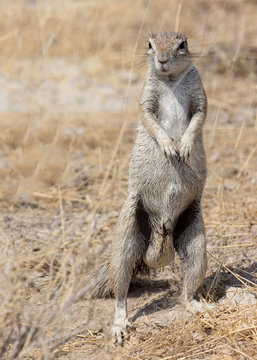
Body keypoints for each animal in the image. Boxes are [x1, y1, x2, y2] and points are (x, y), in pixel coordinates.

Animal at [92, 33, 208, 344]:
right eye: (150, 44)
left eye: (183, 44)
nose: (163, 59)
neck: (170, 80)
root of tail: (159, 235)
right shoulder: (146, 97)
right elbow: (148, 117)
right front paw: (169, 145)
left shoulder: (200, 94)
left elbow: (199, 116)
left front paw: (184, 145)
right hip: (128, 234)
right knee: (120, 291)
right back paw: (120, 325)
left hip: (195, 239)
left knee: (187, 288)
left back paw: (197, 306)